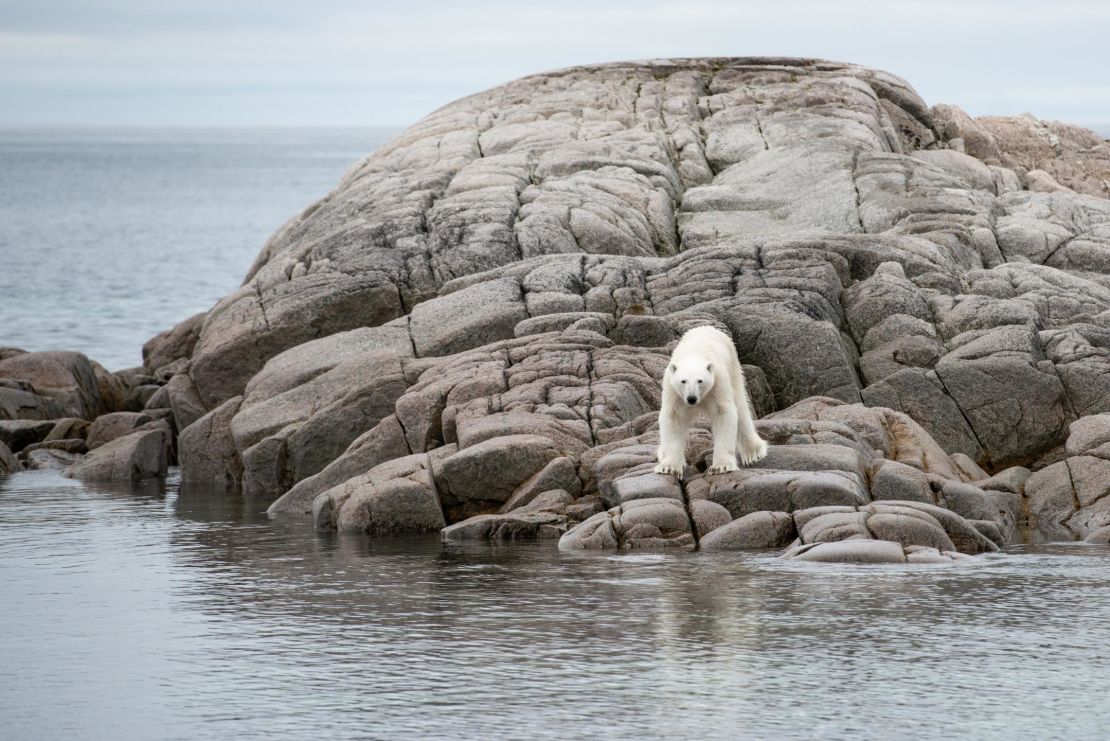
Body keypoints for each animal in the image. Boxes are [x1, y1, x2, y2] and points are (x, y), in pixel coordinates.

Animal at [652, 326, 768, 476]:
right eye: (683, 381)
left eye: (700, 380)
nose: (692, 398)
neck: (694, 353)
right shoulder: (673, 390)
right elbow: (673, 418)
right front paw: (668, 467)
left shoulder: (718, 382)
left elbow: (723, 413)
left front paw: (721, 466)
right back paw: (662, 453)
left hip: (733, 368)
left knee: (741, 407)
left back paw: (753, 452)